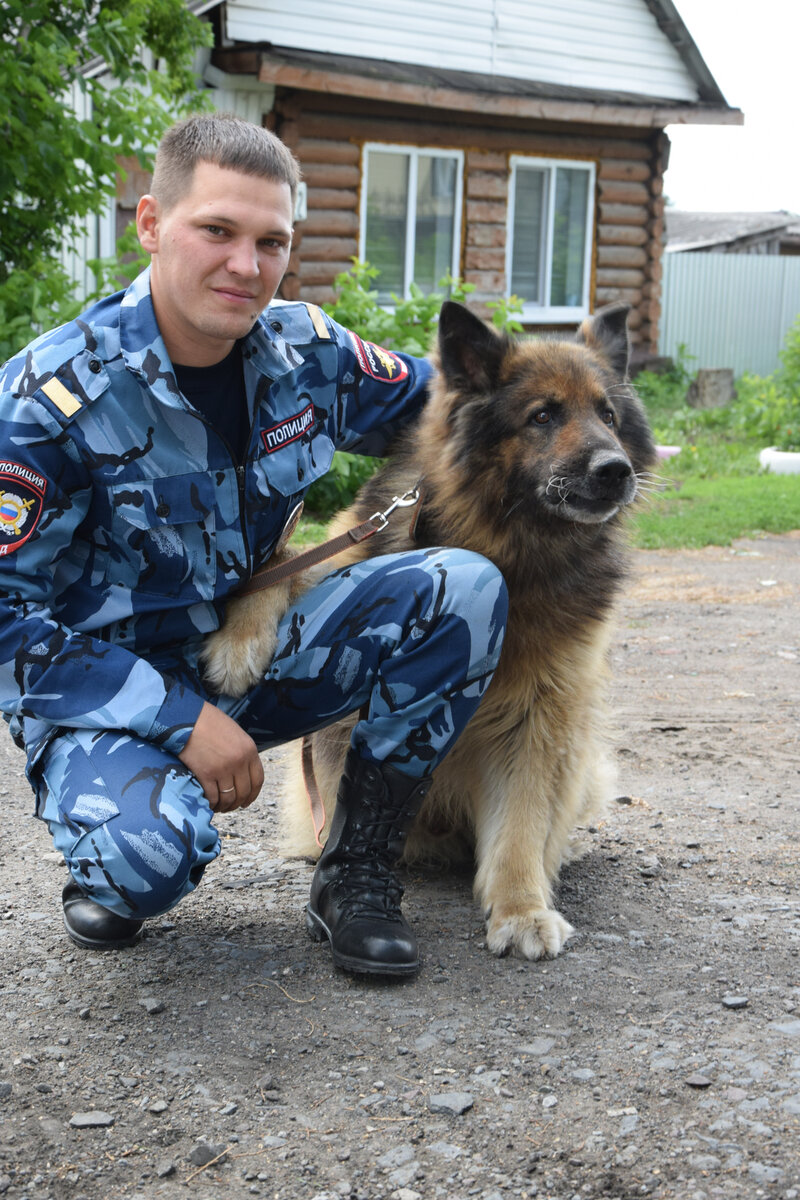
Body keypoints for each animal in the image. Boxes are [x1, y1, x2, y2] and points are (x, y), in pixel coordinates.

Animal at [201, 302, 657, 964]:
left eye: (609, 417)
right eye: (542, 415)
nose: (616, 471)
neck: (509, 554)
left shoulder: (542, 714)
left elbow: (521, 823)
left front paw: (521, 908)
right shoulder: (342, 555)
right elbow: (279, 561)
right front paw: (238, 647)